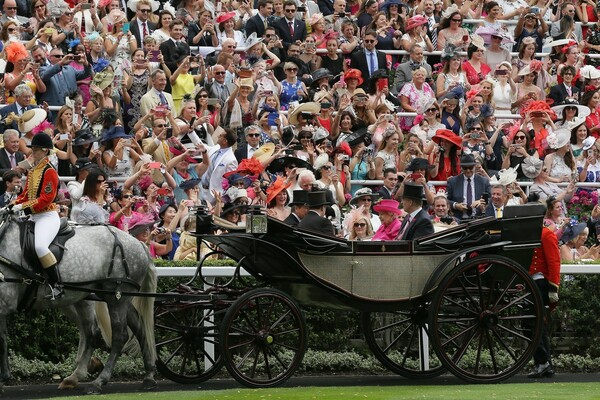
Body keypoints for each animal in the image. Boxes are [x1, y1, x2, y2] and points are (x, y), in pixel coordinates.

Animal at [0, 212, 157, 394]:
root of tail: (138, 243)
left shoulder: (4, 303)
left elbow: (1, 340)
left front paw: (3, 378)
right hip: (110, 297)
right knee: (133, 328)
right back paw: (148, 376)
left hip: (116, 297)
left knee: (119, 336)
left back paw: (98, 382)